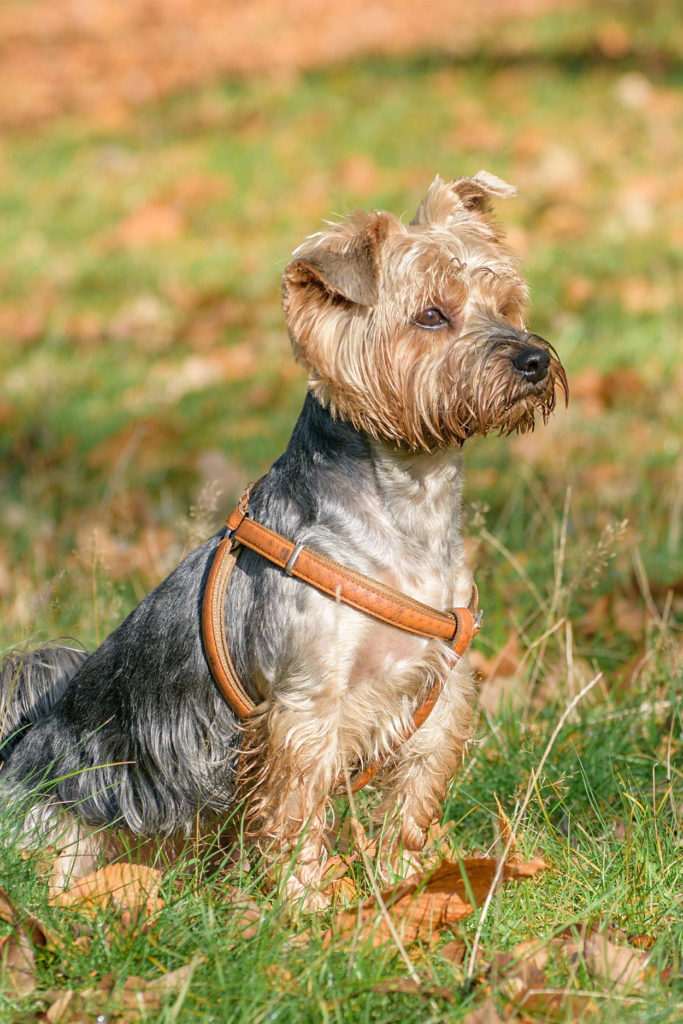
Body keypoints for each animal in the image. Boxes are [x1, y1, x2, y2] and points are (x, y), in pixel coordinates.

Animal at [0, 172, 565, 909]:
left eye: (505, 305)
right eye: (430, 316)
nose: (533, 358)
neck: (412, 502)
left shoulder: (435, 697)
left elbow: (409, 804)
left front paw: (405, 888)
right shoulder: (306, 706)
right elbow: (296, 814)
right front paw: (304, 907)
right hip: (65, 820)